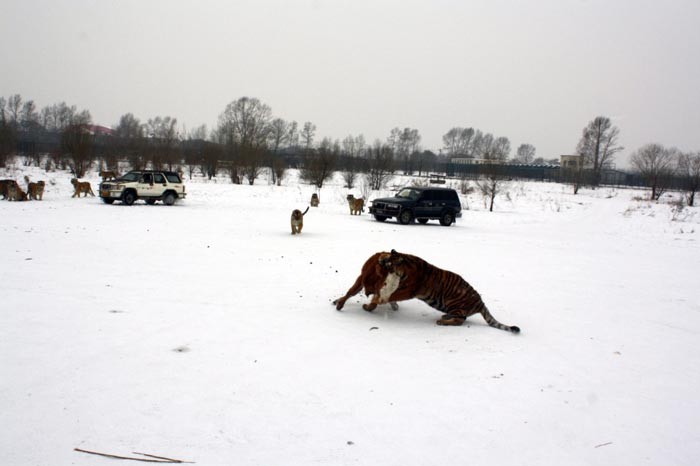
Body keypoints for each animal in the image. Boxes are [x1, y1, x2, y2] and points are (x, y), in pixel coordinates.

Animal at [336, 249, 524, 334]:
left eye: (387, 261)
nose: (381, 257)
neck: (406, 266)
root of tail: (480, 302)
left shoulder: (407, 290)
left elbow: (386, 296)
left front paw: (374, 302)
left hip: (455, 303)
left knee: (460, 320)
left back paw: (442, 321)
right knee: (460, 318)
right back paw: (444, 317)